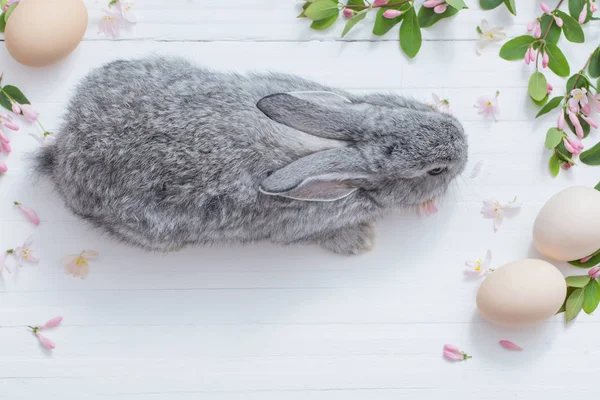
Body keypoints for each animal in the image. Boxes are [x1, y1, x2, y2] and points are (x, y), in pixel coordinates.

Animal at [37, 56, 468, 255]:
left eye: (411, 113)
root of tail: (64, 146)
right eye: (435, 170)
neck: (341, 148)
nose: (463, 143)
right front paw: (360, 241)